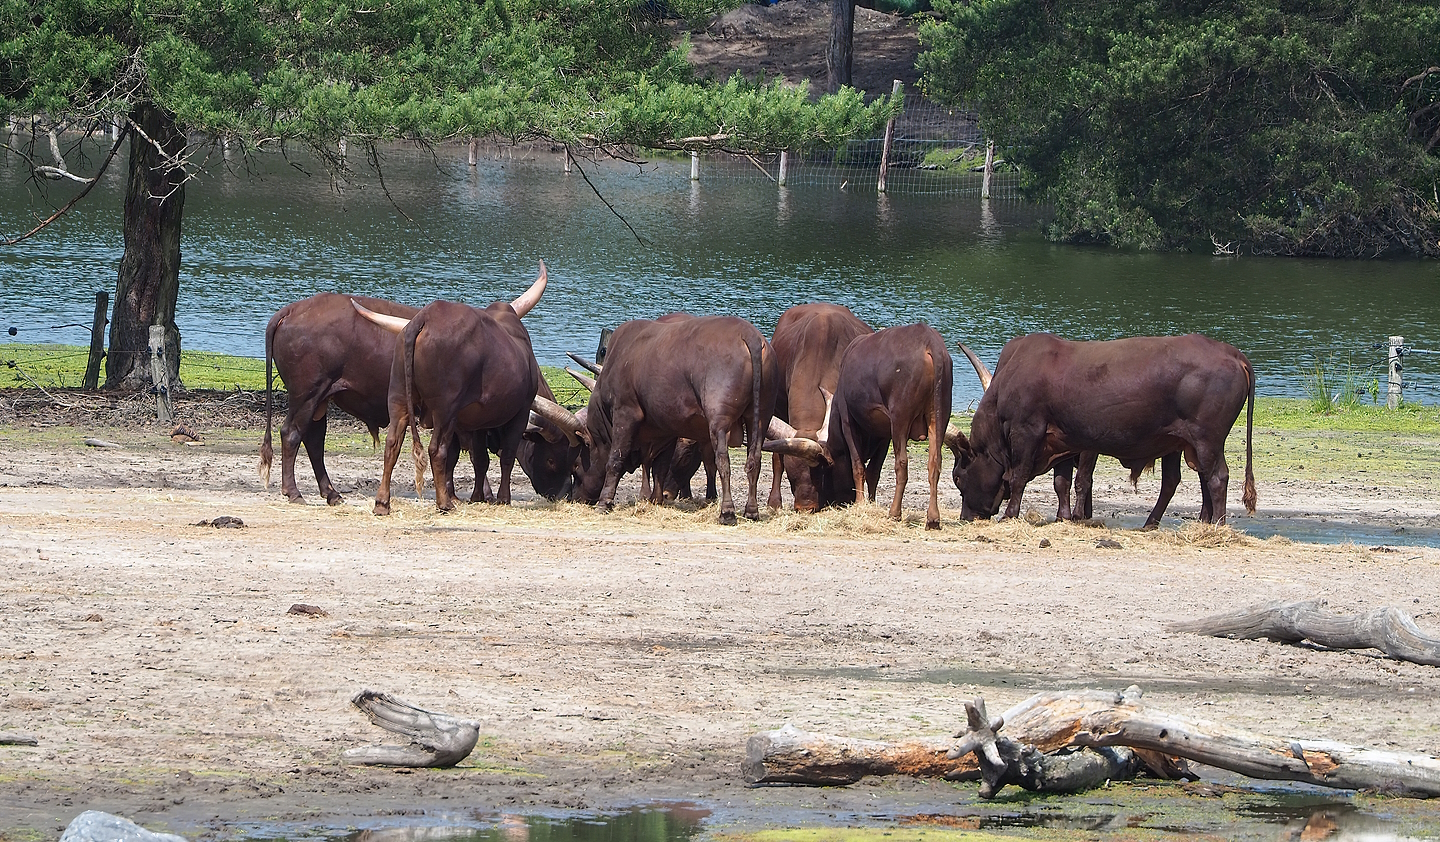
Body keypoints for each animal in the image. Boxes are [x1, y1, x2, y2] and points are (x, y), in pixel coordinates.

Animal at [259, 263, 576, 503]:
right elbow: (467, 456)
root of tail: (290, 310)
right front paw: (470, 495)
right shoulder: (466, 419)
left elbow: (467, 457)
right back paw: (294, 492)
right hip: (307, 395)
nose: (564, 494)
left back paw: (332, 493)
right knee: (291, 434)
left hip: (321, 400)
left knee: (314, 440)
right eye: (555, 458)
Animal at [534, 316, 778, 525]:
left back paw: (727, 513)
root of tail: (749, 335)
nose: (577, 497)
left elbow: (615, 459)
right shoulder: (666, 427)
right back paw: (751, 511)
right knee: (754, 460)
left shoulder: (626, 413)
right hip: (761, 417)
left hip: (719, 418)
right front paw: (656, 499)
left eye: (575, 466)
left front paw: (605, 502)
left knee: (722, 462)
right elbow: (660, 465)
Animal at [766, 323, 953, 530]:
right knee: (934, 463)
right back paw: (933, 518)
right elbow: (873, 471)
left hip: (900, 420)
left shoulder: (849, 422)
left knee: (901, 464)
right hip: (939, 418)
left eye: (822, 471)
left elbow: (857, 465)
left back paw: (895, 513)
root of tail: (929, 342)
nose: (805, 508)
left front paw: (860, 503)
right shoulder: (883, 435)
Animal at [946, 333, 1256, 527]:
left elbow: (1020, 476)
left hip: (1206, 439)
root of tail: (1231, 352)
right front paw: (1064, 517)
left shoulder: (1027, 431)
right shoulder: (1062, 439)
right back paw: (1172, 523)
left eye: (958, 478)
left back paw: (1216, 525)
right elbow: (1062, 482)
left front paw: (1010, 515)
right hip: (1184, 443)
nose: (966, 517)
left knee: (1216, 478)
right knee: (1187, 480)